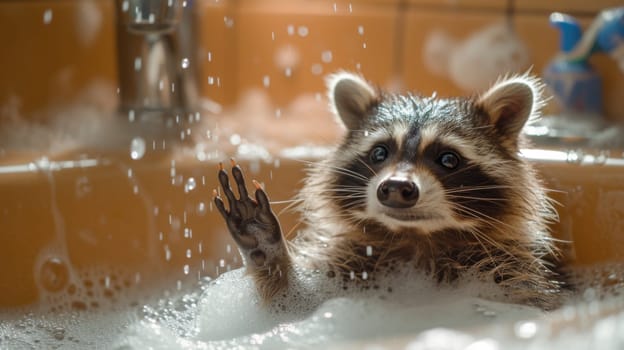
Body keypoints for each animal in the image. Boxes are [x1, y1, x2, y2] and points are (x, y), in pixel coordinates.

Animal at [212, 71, 564, 308]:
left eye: (448, 158)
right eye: (380, 153)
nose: (395, 187)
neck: (417, 239)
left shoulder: (512, 272)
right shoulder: (346, 262)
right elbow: (295, 302)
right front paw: (268, 254)